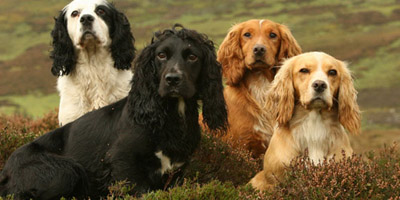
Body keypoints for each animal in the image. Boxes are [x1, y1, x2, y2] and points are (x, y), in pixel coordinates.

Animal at [0, 25, 227, 200]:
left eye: (192, 56)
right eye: (161, 55)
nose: (172, 79)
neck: (170, 115)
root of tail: (6, 171)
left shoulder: (177, 172)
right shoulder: (122, 162)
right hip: (64, 171)